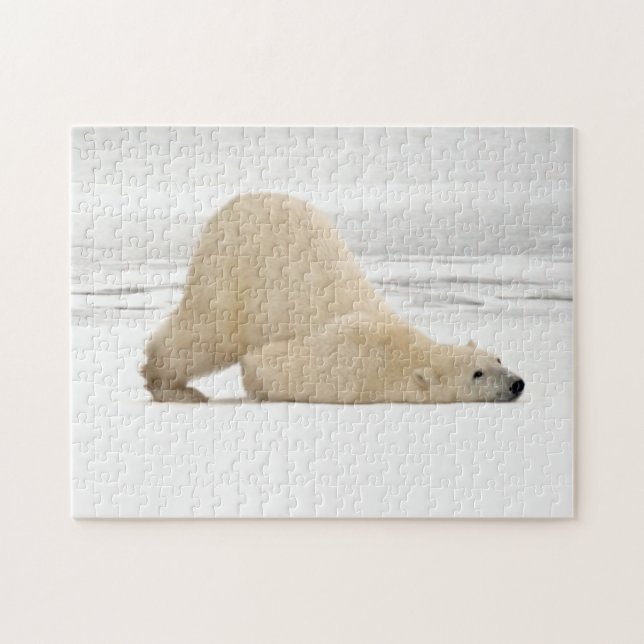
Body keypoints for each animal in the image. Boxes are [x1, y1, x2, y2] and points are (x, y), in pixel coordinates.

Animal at [143, 193, 525, 404]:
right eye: (477, 374)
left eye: (499, 358)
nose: (516, 383)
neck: (399, 352)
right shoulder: (345, 362)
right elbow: (266, 364)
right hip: (232, 275)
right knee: (205, 334)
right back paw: (175, 389)